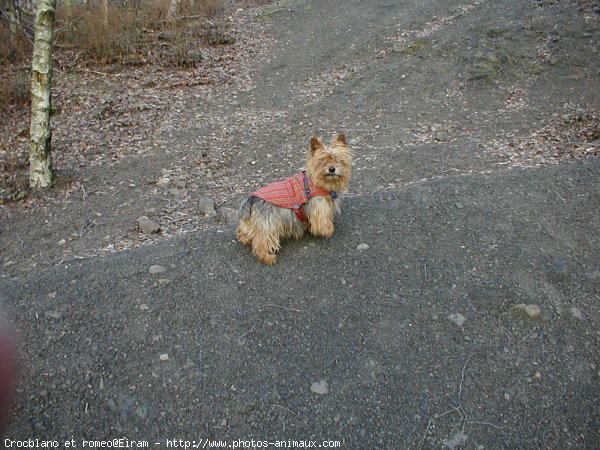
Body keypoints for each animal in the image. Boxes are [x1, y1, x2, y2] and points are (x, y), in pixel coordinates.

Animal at [238, 135, 354, 266]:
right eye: (323, 162)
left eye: (339, 160)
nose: (332, 169)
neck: (320, 183)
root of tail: (250, 200)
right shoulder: (319, 207)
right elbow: (322, 224)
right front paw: (328, 231)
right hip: (268, 225)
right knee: (262, 242)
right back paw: (268, 257)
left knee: (244, 233)